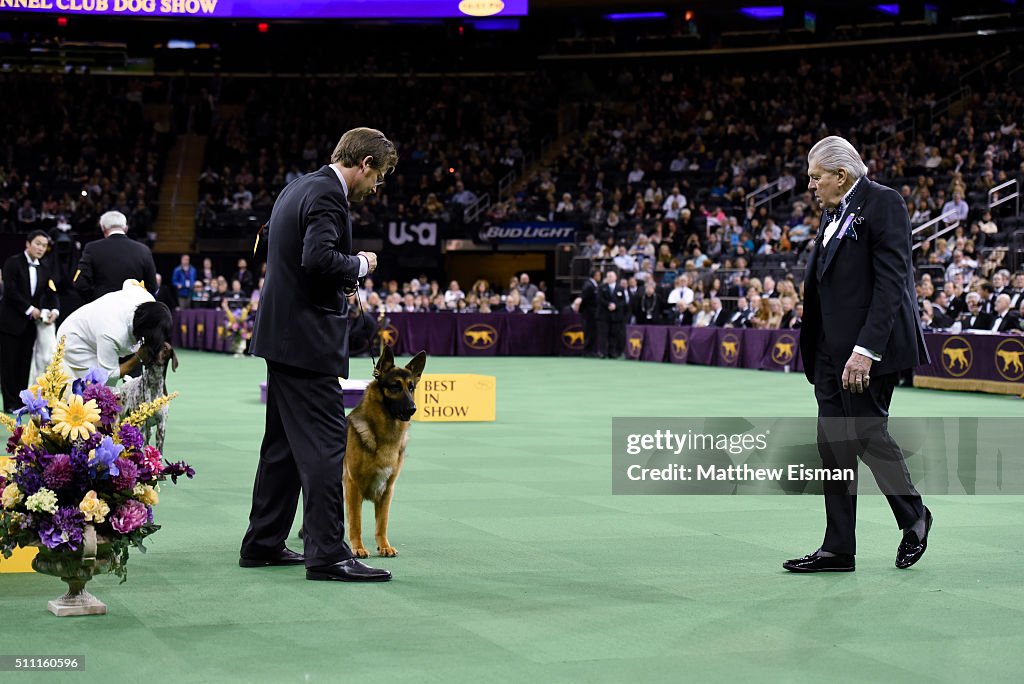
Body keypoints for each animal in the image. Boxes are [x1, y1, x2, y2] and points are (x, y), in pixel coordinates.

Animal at [342, 348, 425, 557]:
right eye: (395, 387)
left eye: (411, 388)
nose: (412, 409)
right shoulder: (353, 486)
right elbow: (356, 522)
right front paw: (358, 547)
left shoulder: (387, 490)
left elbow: (382, 523)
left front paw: (384, 546)